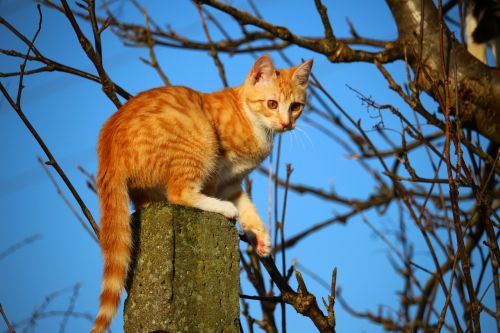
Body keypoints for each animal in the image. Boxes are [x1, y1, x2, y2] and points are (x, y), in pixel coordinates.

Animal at [91, 55, 310, 332]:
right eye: (272, 104)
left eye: (295, 107)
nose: (286, 123)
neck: (252, 122)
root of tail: (107, 145)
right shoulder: (216, 175)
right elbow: (223, 197)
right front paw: (233, 214)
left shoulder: (231, 182)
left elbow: (248, 207)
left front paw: (260, 237)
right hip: (200, 141)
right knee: (178, 193)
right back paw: (220, 208)